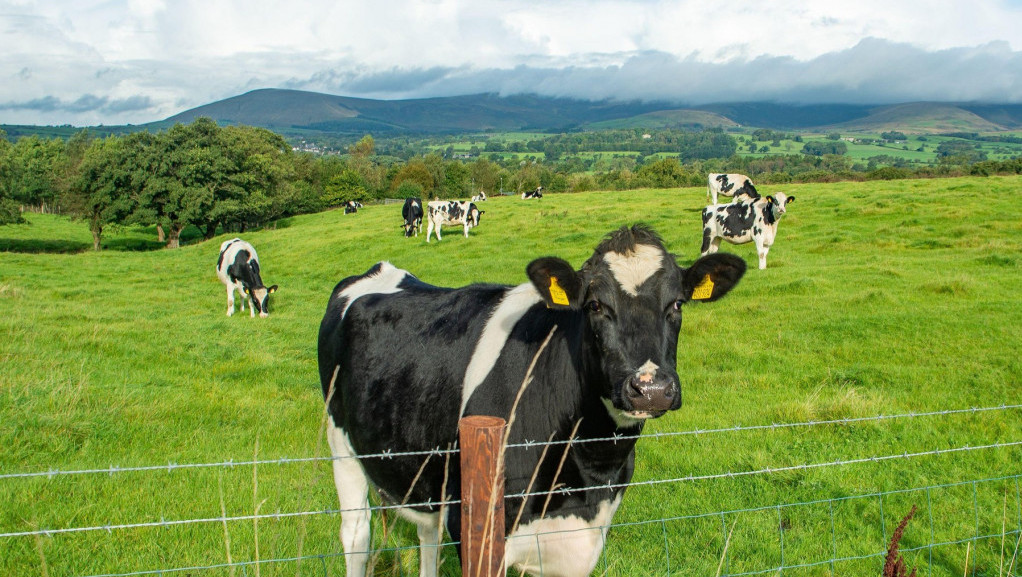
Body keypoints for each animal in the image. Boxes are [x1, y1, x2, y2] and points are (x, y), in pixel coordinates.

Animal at [314, 224, 748, 575]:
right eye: (595, 305)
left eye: (677, 304)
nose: (651, 388)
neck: (587, 470)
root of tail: (378, 271)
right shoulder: (475, 533)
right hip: (341, 445)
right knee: (357, 535)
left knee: (425, 537)